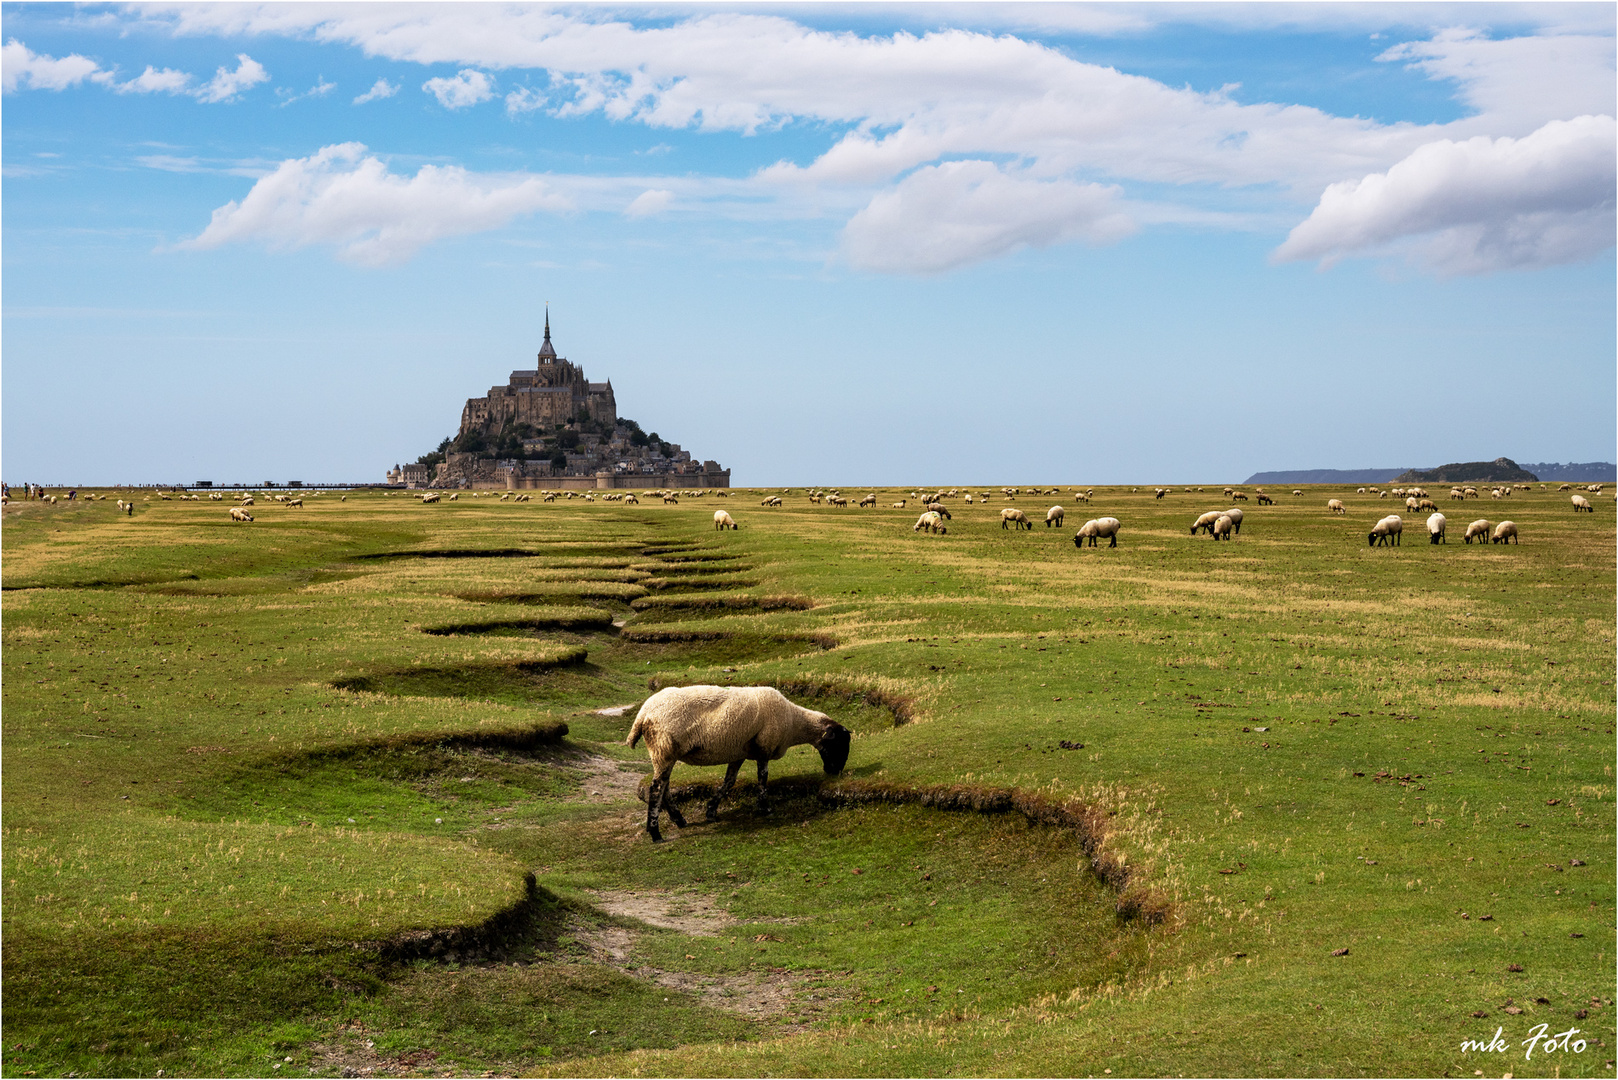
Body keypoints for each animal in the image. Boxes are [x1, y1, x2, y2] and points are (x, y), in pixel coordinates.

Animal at [624, 683, 854, 841]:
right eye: (839, 744)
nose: (835, 771)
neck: (794, 722)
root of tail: (643, 714)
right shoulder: (764, 746)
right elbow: (763, 778)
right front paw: (764, 807)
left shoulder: (739, 753)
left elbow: (729, 782)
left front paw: (711, 810)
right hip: (664, 748)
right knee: (657, 788)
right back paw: (656, 833)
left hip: (665, 753)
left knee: (665, 786)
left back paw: (679, 820)